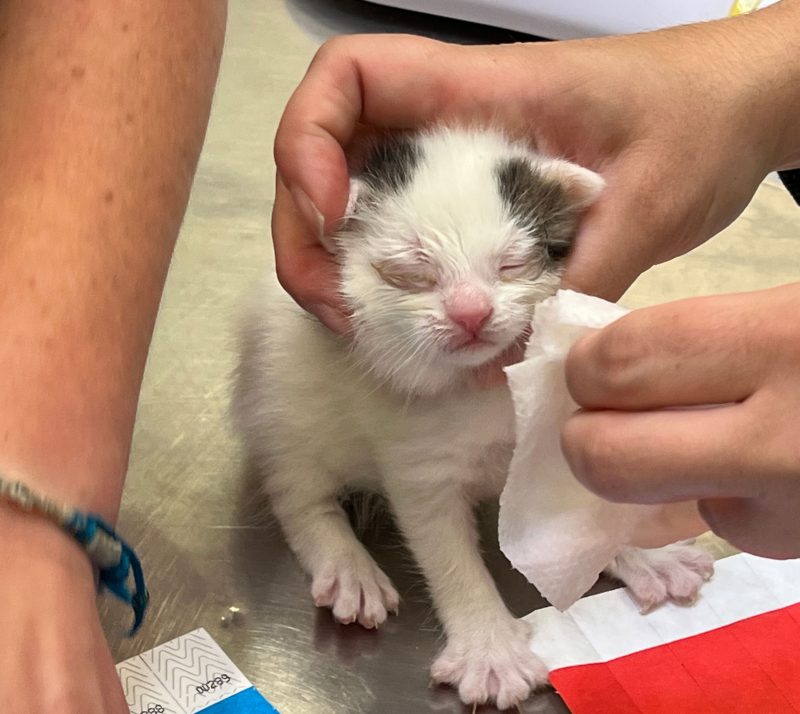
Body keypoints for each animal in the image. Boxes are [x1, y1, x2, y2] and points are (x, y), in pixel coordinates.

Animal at [234, 126, 716, 708]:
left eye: (513, 263)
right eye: (409, 273)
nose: (471, 312)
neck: (482, 385)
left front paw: (643, 556)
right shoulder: (419, 464)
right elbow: (448, 555)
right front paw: (491, 651)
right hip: (282, 403)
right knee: (298, 494)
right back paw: (348, 566)